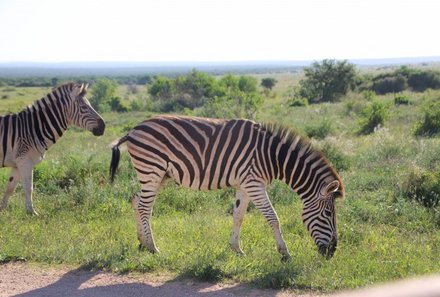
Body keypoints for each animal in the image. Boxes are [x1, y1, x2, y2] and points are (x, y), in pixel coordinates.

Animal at [0, 82, 105, 214]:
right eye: (84, 108)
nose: (103, 127)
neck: (33, 129)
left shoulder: (17, 163)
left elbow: (10, 188)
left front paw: (2, 209)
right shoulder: (24, 161)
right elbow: (29, 188)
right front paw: (32, 212)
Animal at [110, 114, 344, 260]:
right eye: (328, 213)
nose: (332, 252)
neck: (273, 157)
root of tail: (133, 130)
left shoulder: (244, 185)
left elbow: (238, 216)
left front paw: (236, 250)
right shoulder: (254, 183)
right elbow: (273, 217)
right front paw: (284, 253)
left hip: (161, 175)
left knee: (137, 201)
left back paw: (142, 243)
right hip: (151, 170)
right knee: (144, 207)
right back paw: (153, 248)